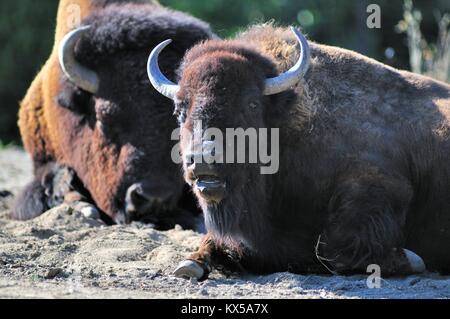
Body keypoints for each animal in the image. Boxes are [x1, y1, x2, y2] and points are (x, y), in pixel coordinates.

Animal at [148, 25, 450, 280]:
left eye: (252, 104)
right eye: (180, 110)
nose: (202, 159)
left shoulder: (380, 187)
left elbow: (335, 248)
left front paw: (411, 259)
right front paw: (190, 264)